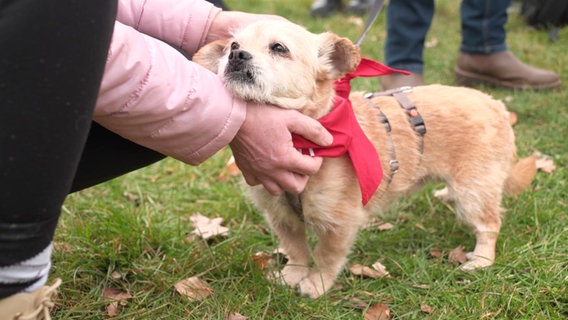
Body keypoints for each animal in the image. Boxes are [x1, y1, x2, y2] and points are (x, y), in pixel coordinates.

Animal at [193, 21, 536, 298]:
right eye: (233, 45)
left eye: (279, 48)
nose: (236, 55)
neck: (307, 142)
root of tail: (496, 106)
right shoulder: (282, 217)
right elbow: (297, 250)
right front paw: (292, 275)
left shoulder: (340, 223)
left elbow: (326, 255)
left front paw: (315, 284)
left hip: (473, 192)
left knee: (490, 225)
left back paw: (481, 260)